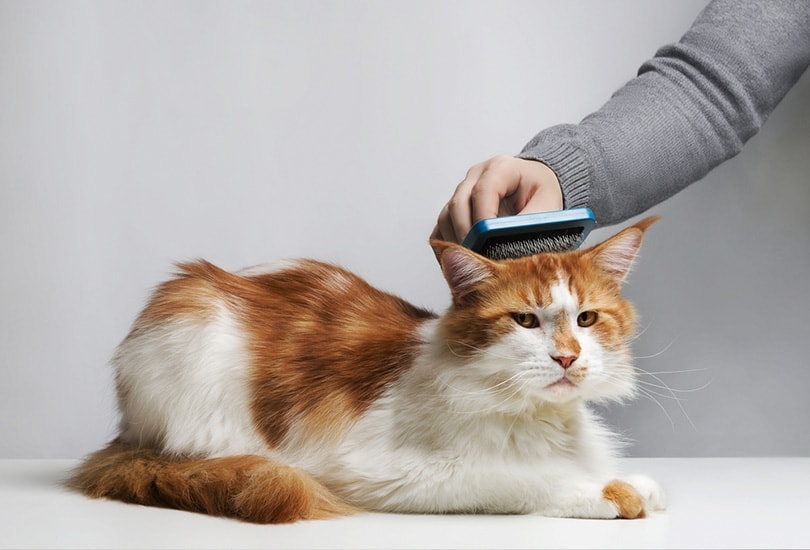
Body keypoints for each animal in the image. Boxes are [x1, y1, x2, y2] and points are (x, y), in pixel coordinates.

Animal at [68, 217, 664, 528]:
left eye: (586, 319)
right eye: (524, 321)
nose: (566, 357)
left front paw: (630, 481)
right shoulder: (378, 470)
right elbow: (521, 478)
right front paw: (606, 491)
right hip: (195, 358)